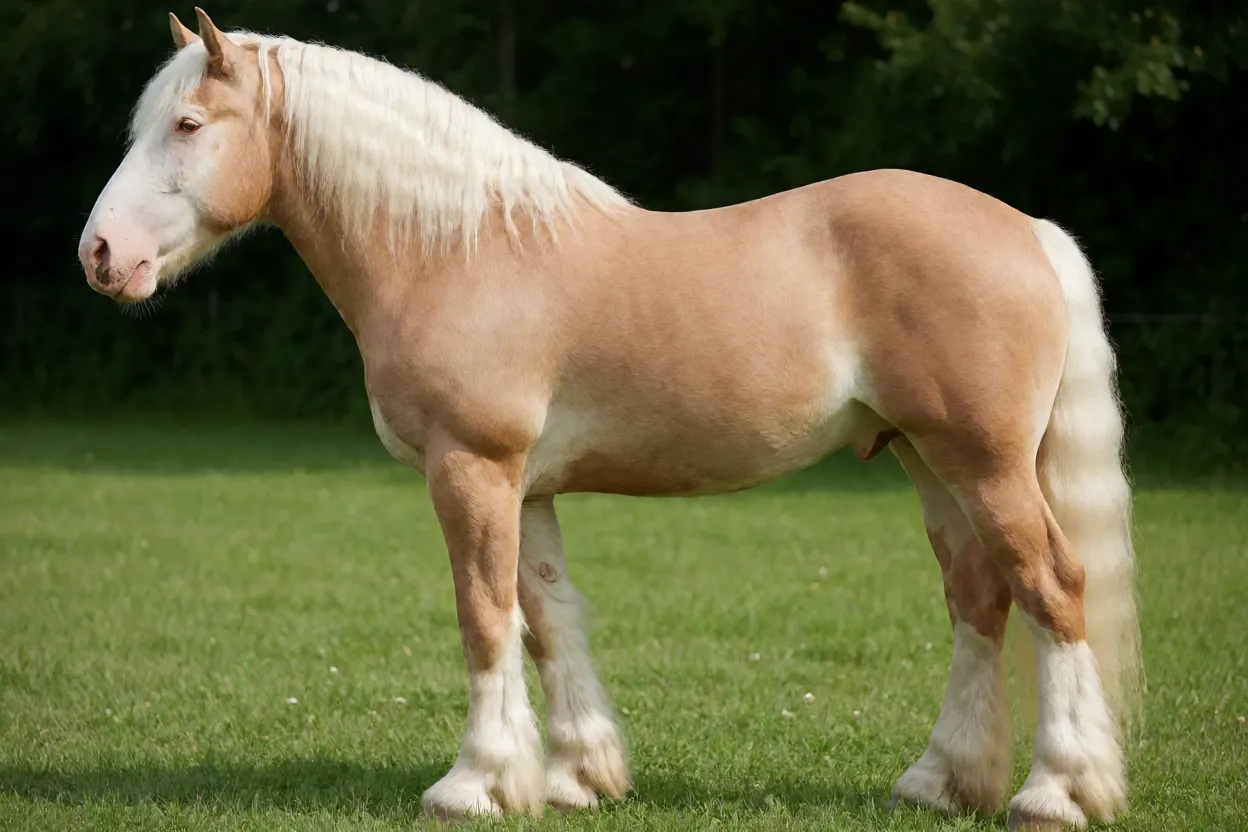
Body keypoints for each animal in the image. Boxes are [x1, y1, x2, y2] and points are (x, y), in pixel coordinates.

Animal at [78, 9, 1143, 829]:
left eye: (189, 122)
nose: (100, 254)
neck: (460, 249)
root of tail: (1028, 231)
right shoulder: (525, 486)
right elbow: (547, 619)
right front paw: (574, 776)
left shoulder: (472, 469)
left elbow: (483, 617)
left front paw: (473, 784)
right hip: (929, 460)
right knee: (979, 600)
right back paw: (940, 782)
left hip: (985, 464)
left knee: (1052, 589)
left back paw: (1056, 793)